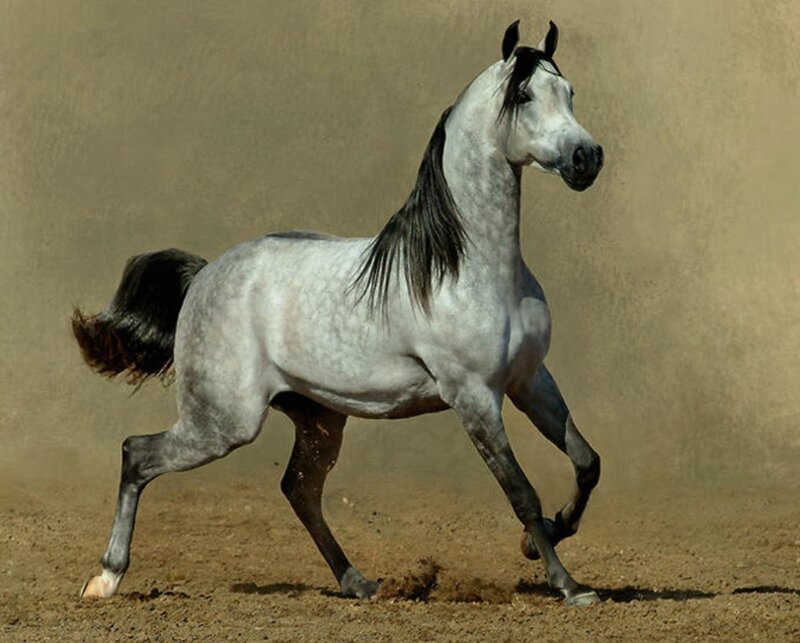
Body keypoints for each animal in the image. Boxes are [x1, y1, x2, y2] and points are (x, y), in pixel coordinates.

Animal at [72, 20, 604, 606]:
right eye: (524, 96)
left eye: (570, 92)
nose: (586, 158)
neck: (469, 267)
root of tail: (206, 277)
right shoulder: (475, 397)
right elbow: (520, 491)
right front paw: (569, 585)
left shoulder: (529, 379)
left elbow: (586, 462)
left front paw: (545, 538)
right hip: (223, 422)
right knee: (137, 454)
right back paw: (104, 579)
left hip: (317, 417)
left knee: (299, 489)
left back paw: (359, 582)